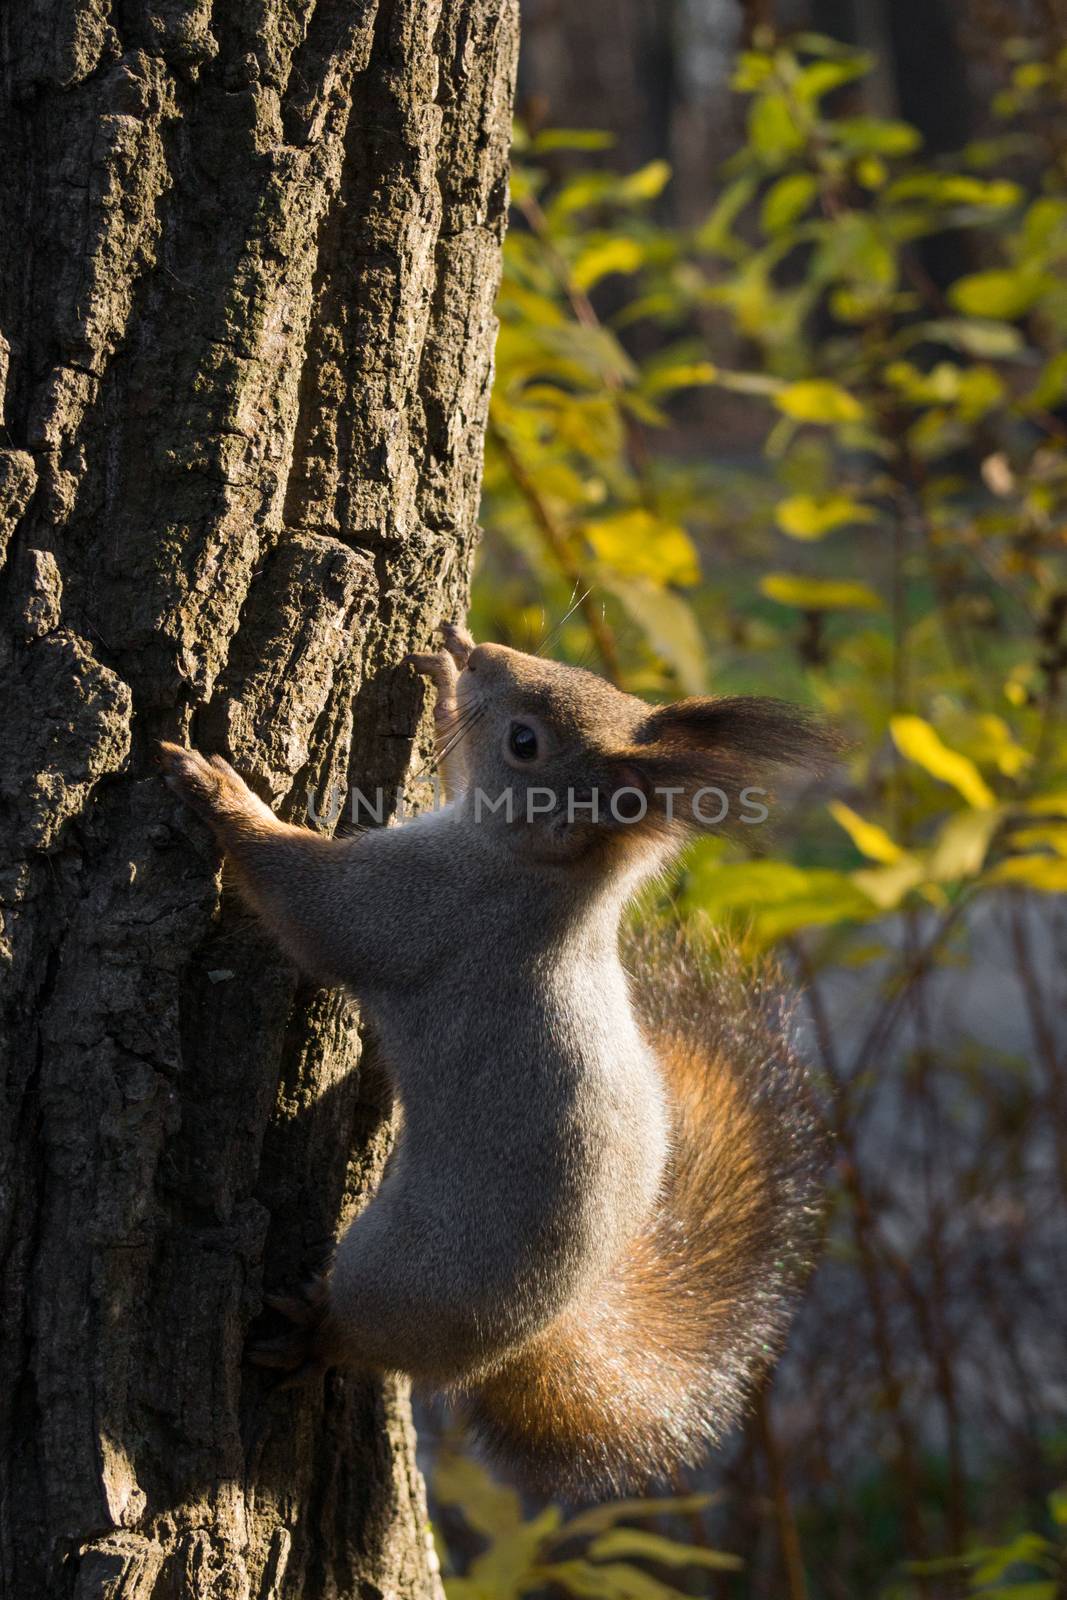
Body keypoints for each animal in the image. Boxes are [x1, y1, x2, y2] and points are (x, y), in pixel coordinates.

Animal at [163, 624, 831, 1497]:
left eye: (525, 744)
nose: (485, 653)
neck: (550, 880)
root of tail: (530, 1336)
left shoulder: (426, 905)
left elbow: (312, 904)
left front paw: (222, 795)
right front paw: (447, 675)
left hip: (403, 1280)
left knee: (364, 1339)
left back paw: (315, 1334)